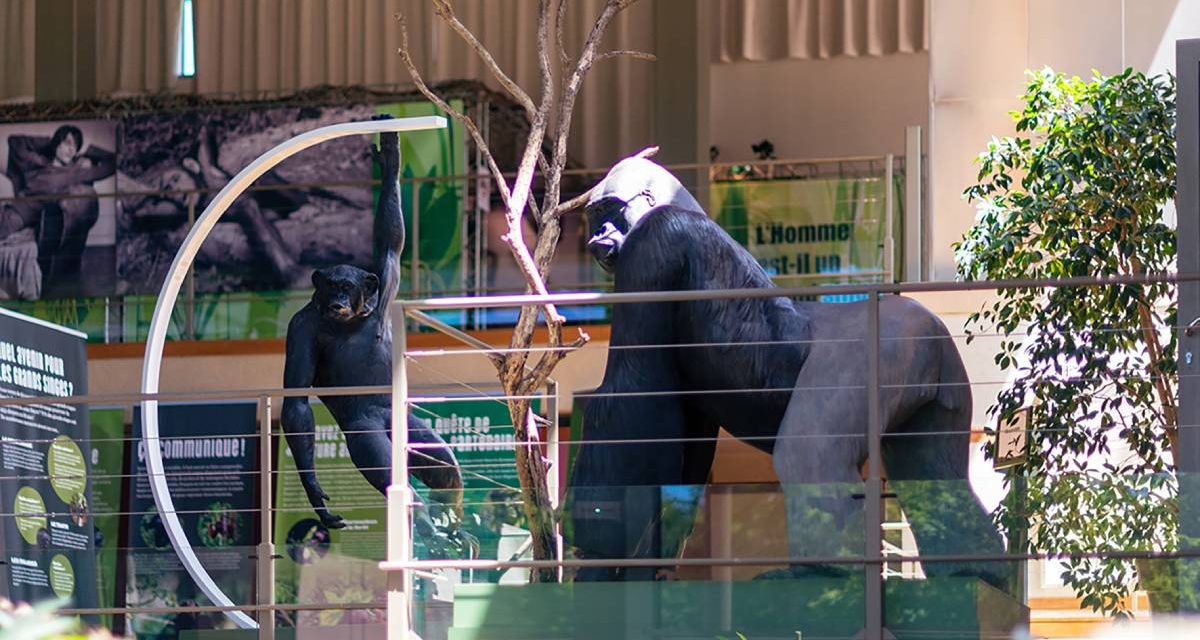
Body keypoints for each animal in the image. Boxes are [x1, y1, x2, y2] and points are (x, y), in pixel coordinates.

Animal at [280, 114, 463, 533]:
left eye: (347, 286)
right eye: (331, 284)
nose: (338, 299)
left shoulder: (384, 280)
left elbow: (392, 240)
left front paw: (391, 155)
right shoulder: (299, 328)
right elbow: (296, 405)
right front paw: (314, 492)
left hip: (410, 427)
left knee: (445, 466)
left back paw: (451, 523)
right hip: (367, 436)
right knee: (395, 478)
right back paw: (426, 527)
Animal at [571, 154, 1012, 588]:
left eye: (610, 210)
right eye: (595, 216)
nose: (598, 235)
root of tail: (933, 327)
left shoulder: (653, 244)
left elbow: (629, 391)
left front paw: (596, 552)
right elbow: (677, 443)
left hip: (884, 343)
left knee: (809, 454)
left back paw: (830, 574)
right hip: (936, 370)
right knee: (935, 476)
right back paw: (978, 571)